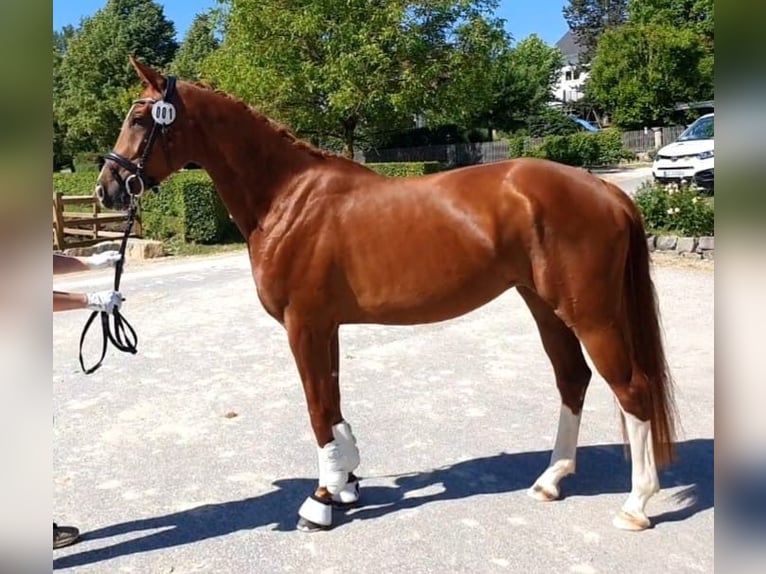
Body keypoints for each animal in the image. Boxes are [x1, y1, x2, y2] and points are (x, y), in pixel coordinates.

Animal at [94, 58, 680, 536]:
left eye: (141, 118)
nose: (108, 188)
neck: (288, 198)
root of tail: (605, 189)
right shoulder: (324, 326)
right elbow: (332, 405)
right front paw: (346, 483)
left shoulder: (304, 324)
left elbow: (317, 409)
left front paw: (321, 501)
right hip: (545, 307)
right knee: (572, 379)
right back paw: (551, 478)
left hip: (591, 314)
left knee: (631, 388)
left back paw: (636, 504)